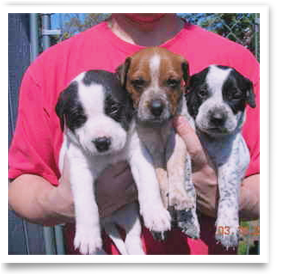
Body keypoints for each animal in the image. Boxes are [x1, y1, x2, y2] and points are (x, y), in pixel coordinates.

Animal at [55, 70, 170, 256]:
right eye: (78, 116)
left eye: (114, 108)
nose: (102, 142)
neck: (106, 156)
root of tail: (108, 220)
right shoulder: (79, 168)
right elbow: (86, 202)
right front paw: (88, 235)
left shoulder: (138, 155)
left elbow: (149, 183)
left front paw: (156, 214)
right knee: (99, 250)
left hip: (129, 214)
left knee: (132, 237)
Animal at [116, 47, 200, 239]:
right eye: (138, 83)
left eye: (172, 82)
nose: (156, 108)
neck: (159, 126)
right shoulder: (149, 146)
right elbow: (159, 174)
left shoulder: (177, 140)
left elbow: (175, 168)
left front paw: (179, 196)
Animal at [186, 65, 256, 250]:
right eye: (202, 92)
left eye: (235, 95)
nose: (217, 118)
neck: (211, 139)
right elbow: (187, 187)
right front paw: (189, 220)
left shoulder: (229, 161)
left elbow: (229, 193)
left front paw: (228, 228)